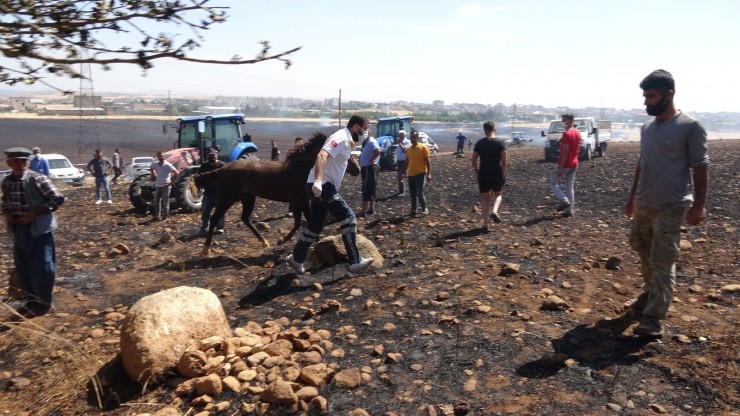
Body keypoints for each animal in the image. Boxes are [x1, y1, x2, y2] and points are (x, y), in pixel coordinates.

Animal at [194, 132, 362, 255]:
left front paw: (282, 240)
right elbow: (305, 222)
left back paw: (264, 242)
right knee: (215, 218)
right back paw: (205, 249)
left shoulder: (297, 202)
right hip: (227, 198)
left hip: (248, 197)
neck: (302, 168)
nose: (357, 169)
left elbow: (300, 222)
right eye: (343, 152)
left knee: (245, 218)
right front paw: (296, 241)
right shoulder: (300, 201)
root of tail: (221, 169)